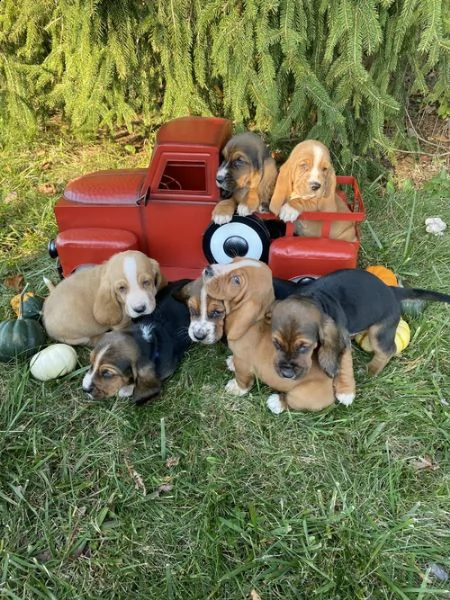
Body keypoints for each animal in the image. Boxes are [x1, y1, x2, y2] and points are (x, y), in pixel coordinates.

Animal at [201, 258, 356, 412]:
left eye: (236, 280)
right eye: (234, 260)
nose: (208, 269)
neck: (254, 323)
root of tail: (331, 388)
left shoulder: (243, 363)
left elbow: (242, 379)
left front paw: (236, 388)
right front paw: (231, 362)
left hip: (298, 396)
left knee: (291, 403)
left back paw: (277, 402)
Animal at [270, 270, 450, 378]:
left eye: (304, 347)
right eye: (275, 344)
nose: (286, 374)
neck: (313, 297)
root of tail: (391, 290)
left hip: (379, 331)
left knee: (388, 350)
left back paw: (372, 370)